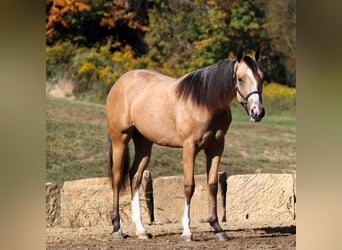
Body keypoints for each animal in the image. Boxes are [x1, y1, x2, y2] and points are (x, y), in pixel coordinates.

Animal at [105, 49, 266, 242]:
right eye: (241, 78)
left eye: (261, 77)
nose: (257, 112)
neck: (205, 103)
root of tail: (120, 82)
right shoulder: (190, 147)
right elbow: (189, 186)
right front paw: (187, 232)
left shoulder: (216, 148)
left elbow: (212, 185)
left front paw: (218, 228)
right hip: (119, 139)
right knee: (116, 178)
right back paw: (116, 229)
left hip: (144, 143)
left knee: (135, 177)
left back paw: (141, 230)